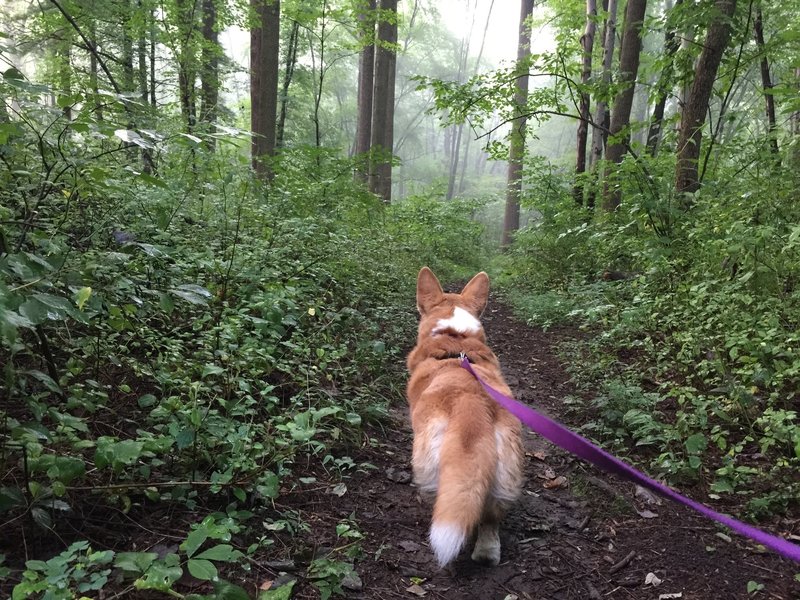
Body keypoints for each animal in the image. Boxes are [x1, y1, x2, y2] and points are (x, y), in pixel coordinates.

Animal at [406, 268, 524, 568]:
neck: (455, 337)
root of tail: (471, 406)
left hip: (427, 462)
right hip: (506, 472)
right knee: (491, 519)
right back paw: (486, 554)